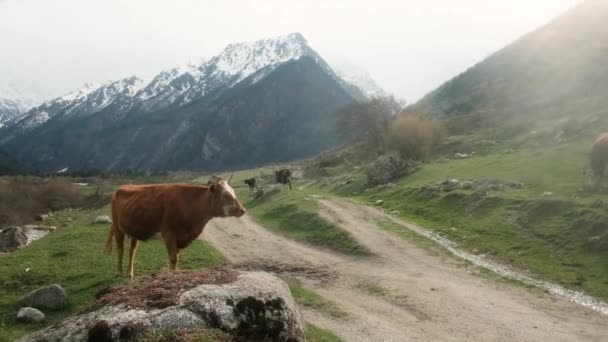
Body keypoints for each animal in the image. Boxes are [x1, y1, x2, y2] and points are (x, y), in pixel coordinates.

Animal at [104, 176, 245, 278]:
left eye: (233, 192)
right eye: (226, 195)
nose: (242, 210)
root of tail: (124, 187)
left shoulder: (181, 237)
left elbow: (176, 257)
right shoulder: (169, 233)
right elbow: (173, 258)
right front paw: (172, 275)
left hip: (135, 229)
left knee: (132, 251)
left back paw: (130, 273)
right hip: (117, 227)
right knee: (120, 249)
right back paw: (118, 272)